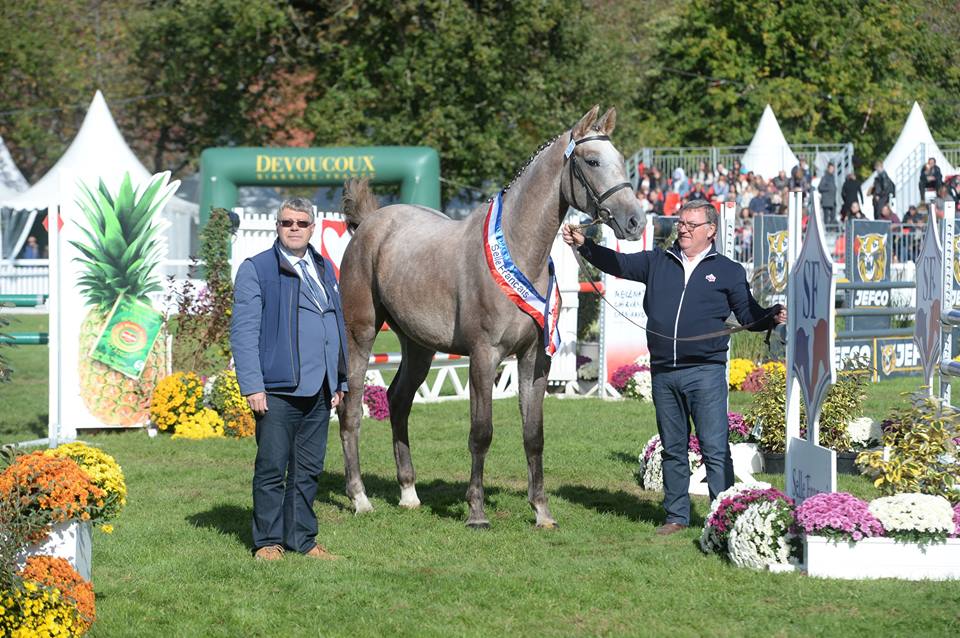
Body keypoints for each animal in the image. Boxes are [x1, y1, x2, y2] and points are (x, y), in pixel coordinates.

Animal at [338, 106, 644, 528]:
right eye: (592, 161)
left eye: (621, 158)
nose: (635, 221)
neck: (516, 248)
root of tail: (369, 224)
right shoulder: (484, 356)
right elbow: (481, 433)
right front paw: (476, 512)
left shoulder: (535, 359)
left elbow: (534, 435)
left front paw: (542, 512)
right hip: (361, 334)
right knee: (350, 409)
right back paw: (360, 497)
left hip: (418, 346)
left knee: (399, 401)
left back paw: (409, 493)